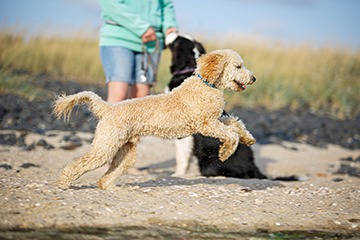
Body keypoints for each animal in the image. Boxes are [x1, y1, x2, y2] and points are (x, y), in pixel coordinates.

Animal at [53, 49, 256, 191]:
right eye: (238, 66)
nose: (253, 78)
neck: (206, 84)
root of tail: (108, 108)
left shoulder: (215, 120)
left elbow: (235, 123)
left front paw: (248, 138)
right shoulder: (206, 124)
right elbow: (231, 134)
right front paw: (225, 152)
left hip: (125, 153)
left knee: (106, 176)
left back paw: (112, 188)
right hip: (105, 147)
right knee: (78, 164)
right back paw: (63, 183)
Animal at [167, 34, 268, 179]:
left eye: (176, 42)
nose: (171, 32)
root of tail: (253, 167)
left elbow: (181, 157)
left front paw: (177, 174)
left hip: (209, 167)